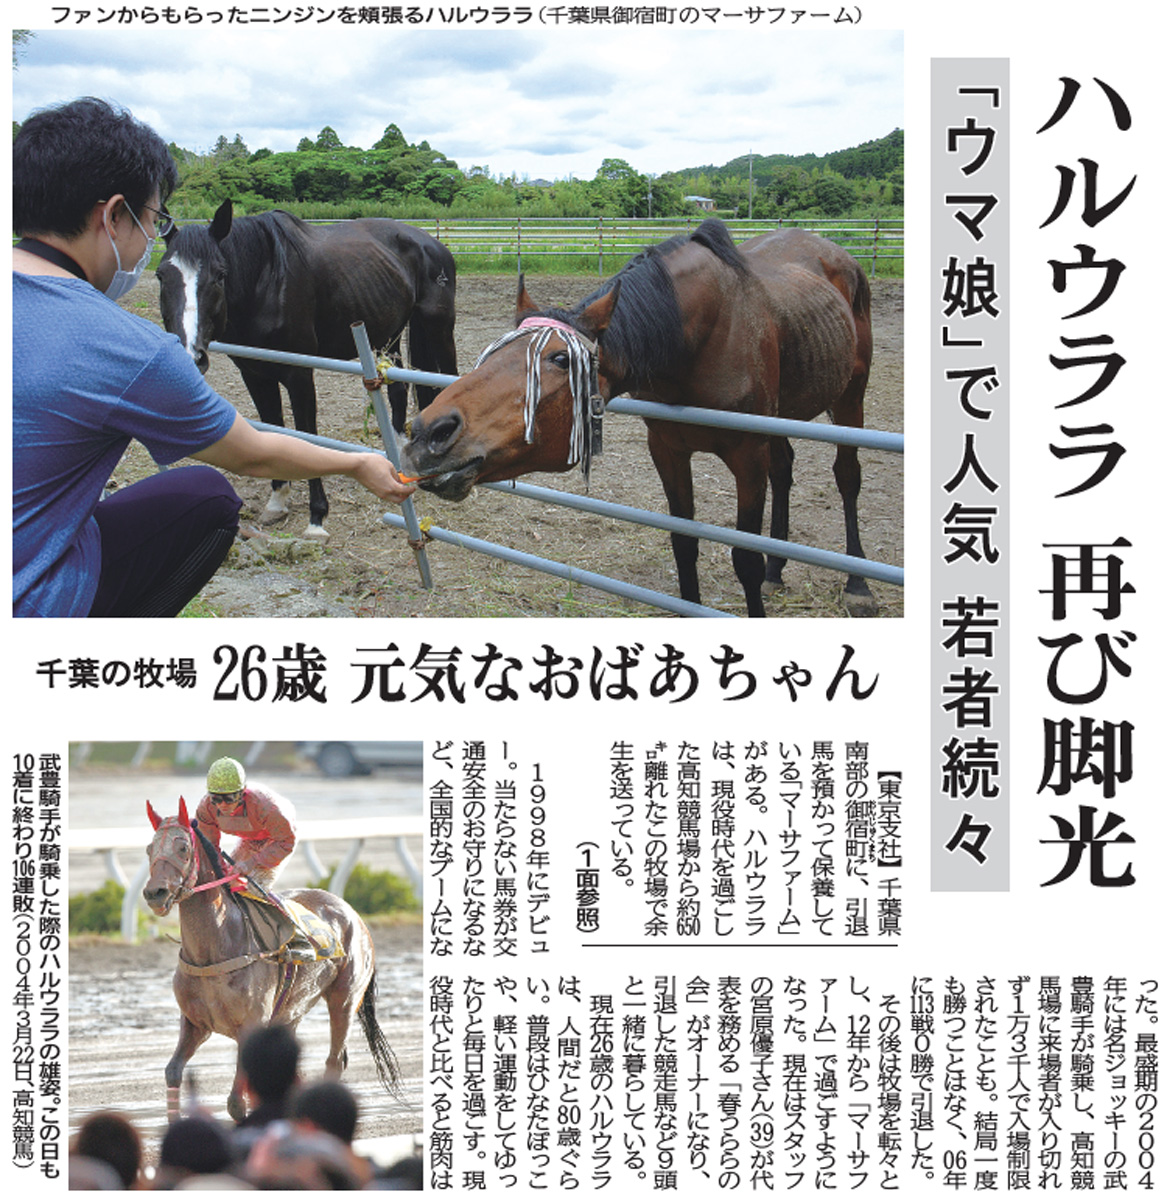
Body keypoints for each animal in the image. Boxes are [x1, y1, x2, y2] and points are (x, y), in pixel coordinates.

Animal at [142, 797, 399, 1122]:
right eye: (149, 849)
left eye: (183, 848)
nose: (154, 893)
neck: (215, 947)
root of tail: (351, 911)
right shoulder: (194, 1023)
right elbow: (173, 1071)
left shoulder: (252, 1024)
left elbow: (236, 1103)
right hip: (291, 1013)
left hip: (344, 999)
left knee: (334, 1060)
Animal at [157, 199, 458, 538]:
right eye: (161, 275)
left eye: (220, 274)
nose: (189, 355)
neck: (266, 280)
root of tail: (432, 243)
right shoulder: (255, 374)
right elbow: (273, 427)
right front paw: (277, 501)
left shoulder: (299, 375)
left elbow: (306, 434)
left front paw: (317, 518)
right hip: (387, 336)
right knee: (398, 389)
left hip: (438, 328)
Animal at [401, 218, 876, 617]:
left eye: (559, 359)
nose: (428, 432)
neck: (699, 337)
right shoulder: (667, 449)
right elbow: (684, 543)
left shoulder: (748, 455)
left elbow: (744, 558)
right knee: (785, 470)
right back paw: (779, 570)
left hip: (850, 398)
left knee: (847, 477)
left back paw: (858, 584)